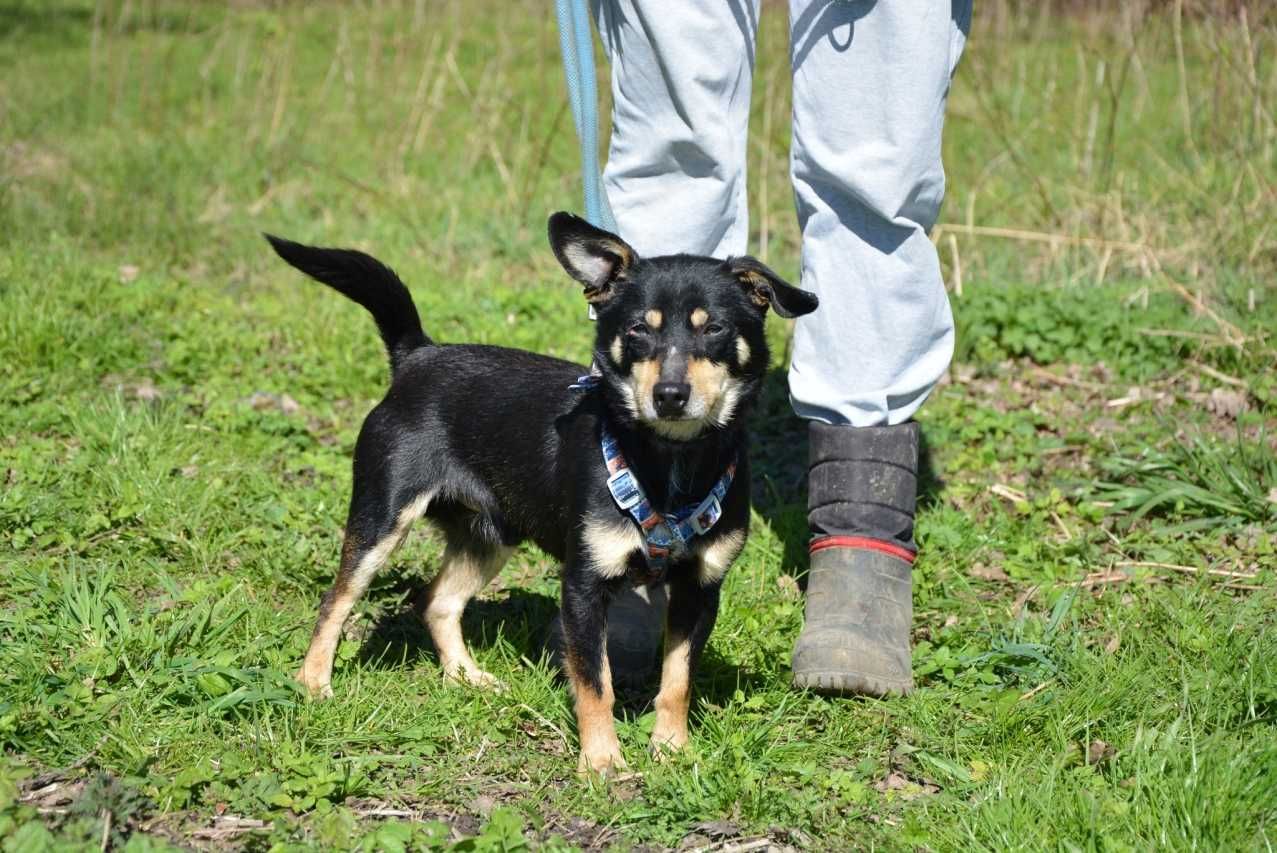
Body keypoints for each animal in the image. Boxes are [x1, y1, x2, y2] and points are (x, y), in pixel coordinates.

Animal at [268, 213, 817, 771]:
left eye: (715, 328)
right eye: (638, 329)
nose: (669, 395)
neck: (669, 462)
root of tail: (418, 355)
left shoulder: (700, 588)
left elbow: (677, 680)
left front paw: (672, 749)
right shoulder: (582, 586)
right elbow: (596, 683)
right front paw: (602, 762)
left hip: (489, 535)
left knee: (438, 602)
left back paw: (466, 676)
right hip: (382, 516)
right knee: (337, 599)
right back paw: (313, 682)